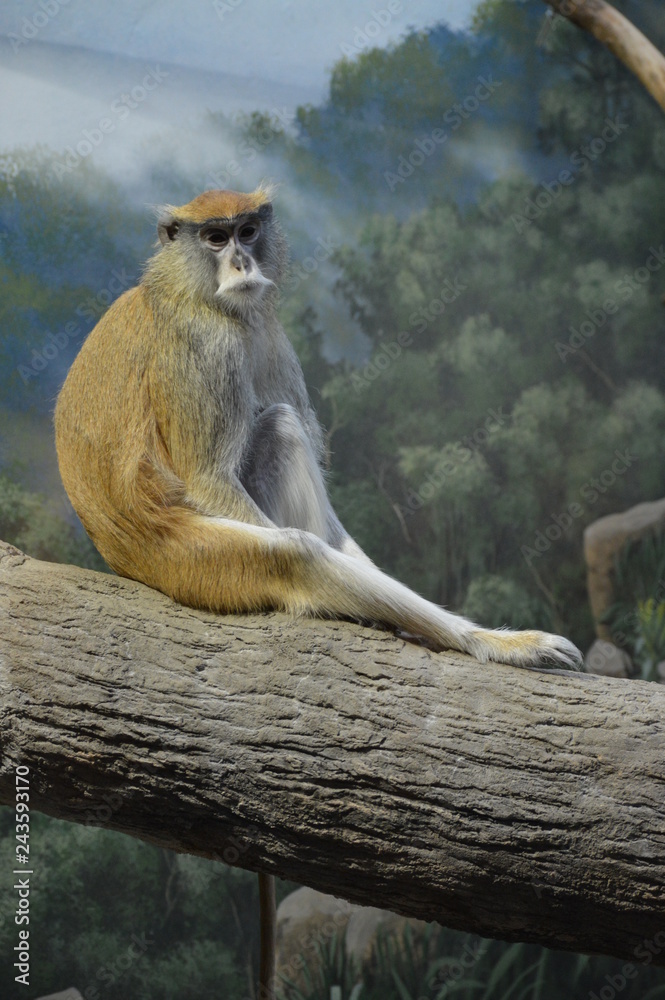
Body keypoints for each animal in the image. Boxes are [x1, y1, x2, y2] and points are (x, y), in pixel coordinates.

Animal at [54, 186, 582, 1000]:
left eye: (246, 230)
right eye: (213, 239)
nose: (241, 263)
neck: (188, 288)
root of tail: (126, 561)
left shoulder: (260, 330)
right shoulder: (205, 350)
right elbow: (212, 481)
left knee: (278, 430)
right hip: (197, 563)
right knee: (295, 554)